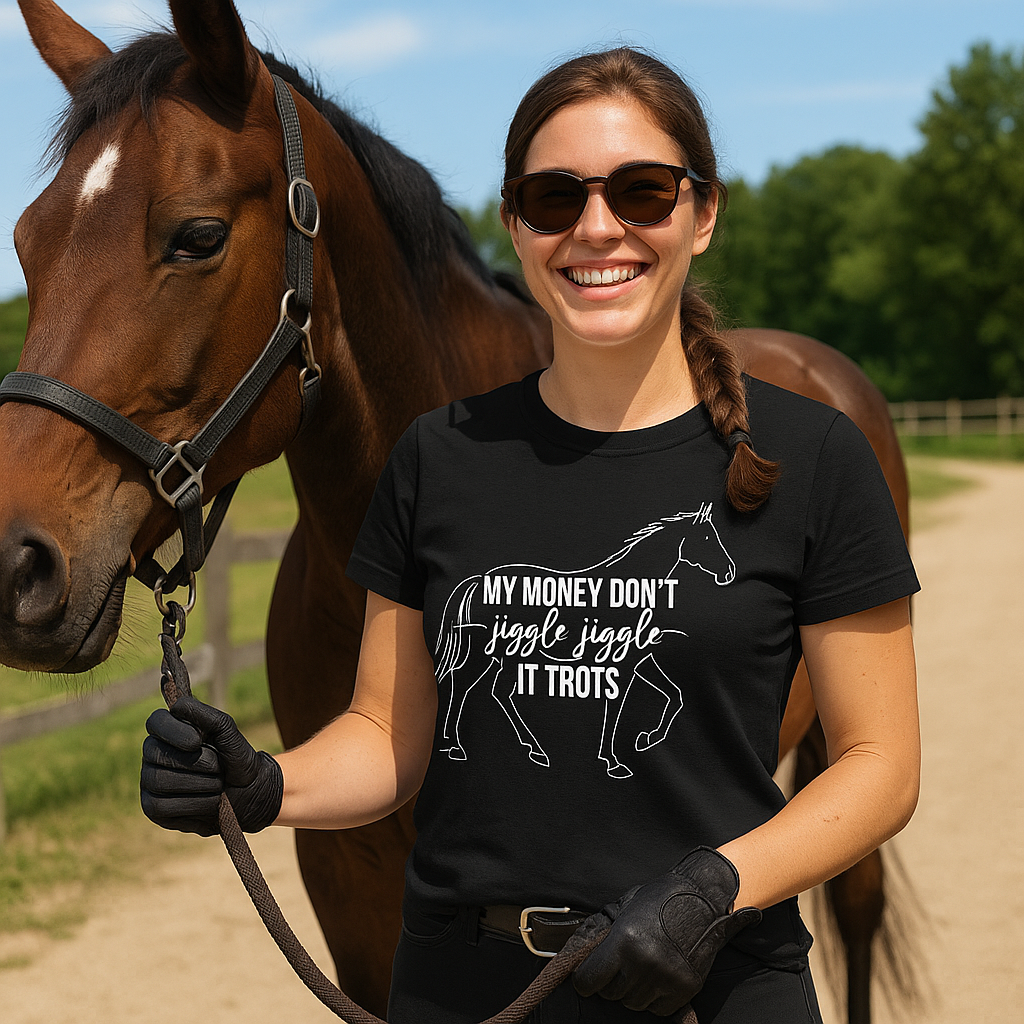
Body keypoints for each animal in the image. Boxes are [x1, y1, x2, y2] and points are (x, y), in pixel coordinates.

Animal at [436, 503, 735, 778]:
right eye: (706, 538)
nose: (729, 572)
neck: (628, 591)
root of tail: (480, 580)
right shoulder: (622, 665)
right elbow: (614, 711)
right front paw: (613, 762)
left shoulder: (640, 660)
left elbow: (675, 696)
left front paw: (647, 738)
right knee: (484, 688)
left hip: (496, 654)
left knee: (475, 684)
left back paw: (473, 746)